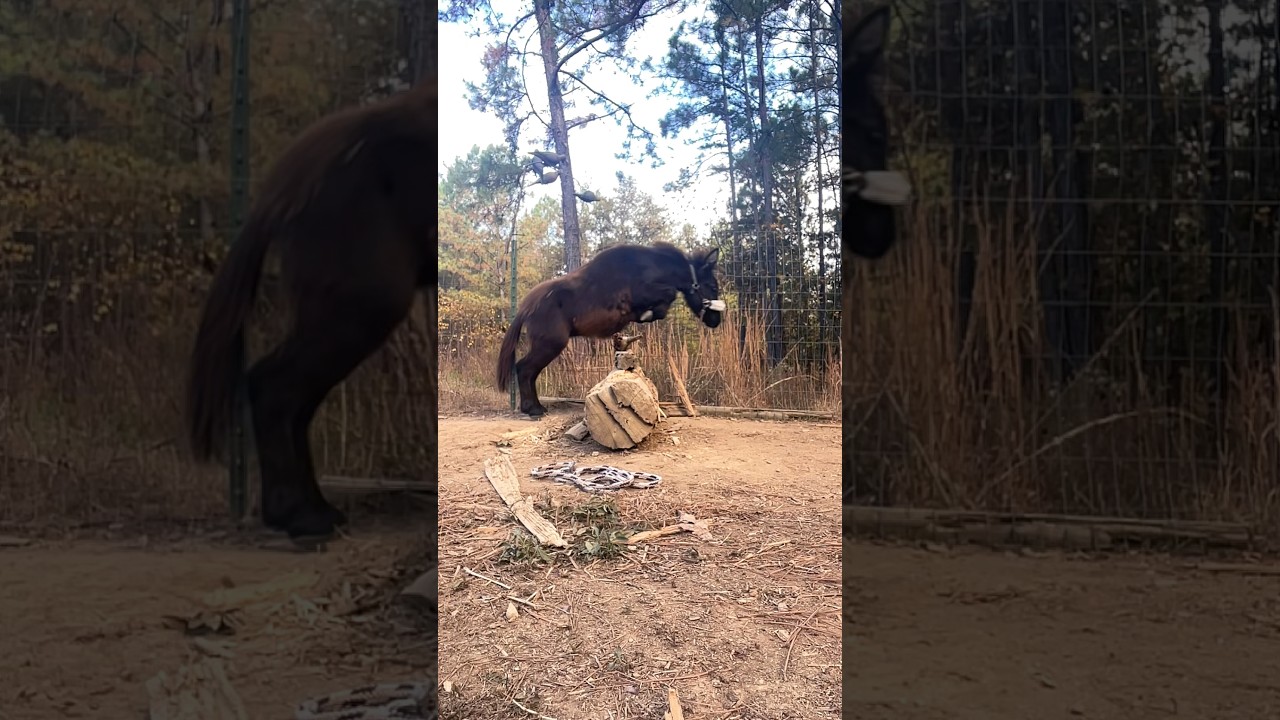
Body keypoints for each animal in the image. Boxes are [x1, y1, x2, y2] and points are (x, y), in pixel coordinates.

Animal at [497, 241, 725, 418]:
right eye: (712, 286)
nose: (716, 321)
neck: (649, 269)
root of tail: (526, 308)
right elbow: (666, 297)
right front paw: (647, 314)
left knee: (529, 372)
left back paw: (534, 407)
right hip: (550, 344)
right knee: (524, 368)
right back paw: (533, 409)